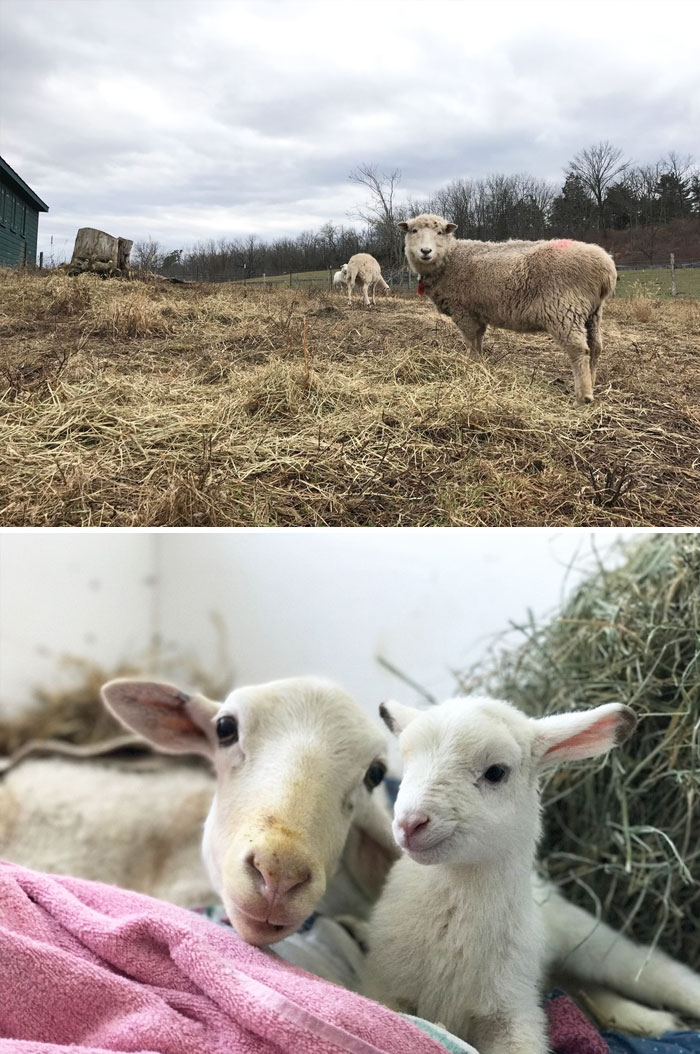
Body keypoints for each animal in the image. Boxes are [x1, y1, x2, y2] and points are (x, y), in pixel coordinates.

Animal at [363, 694, 700, 1050]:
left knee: (655, 971)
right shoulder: (384, 988)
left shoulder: (513, 1009)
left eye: (496, 772)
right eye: (406, 761)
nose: (410, 823)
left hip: (590, 940)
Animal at [398, 214, 617, 405]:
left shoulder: (464, 311)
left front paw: (471, 367)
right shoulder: (477, 313)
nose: (426, 251)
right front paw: (480, 366)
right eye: (414, 231)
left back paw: (582, 398)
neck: (450, 259)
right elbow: (479, 340)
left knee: (579, 350)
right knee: (595, 347)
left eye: (440, 232)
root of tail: (606, 267)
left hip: (564, 309)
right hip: (592, 312)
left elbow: (470, 342)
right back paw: (592, 385)